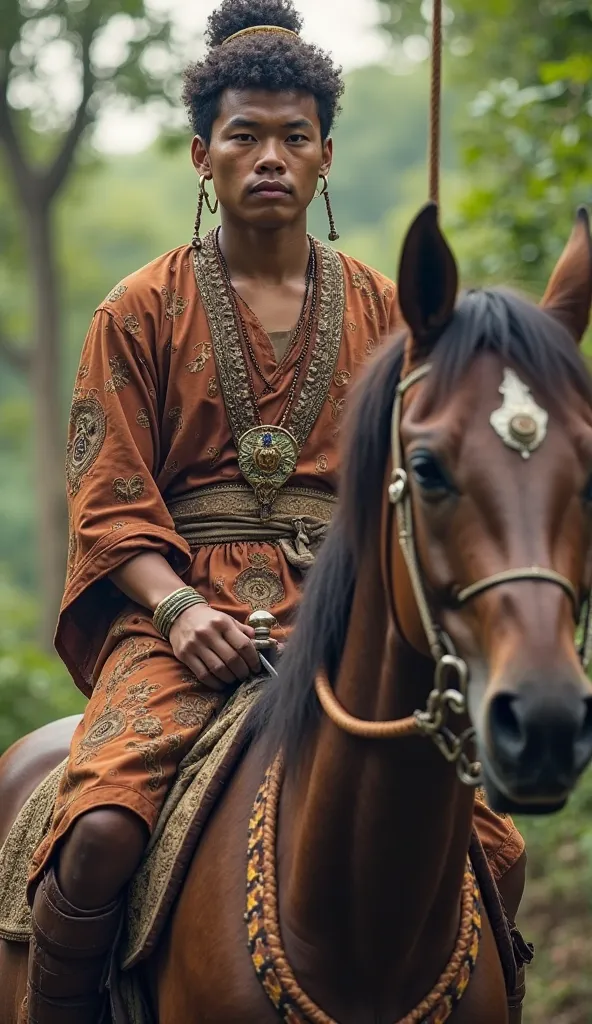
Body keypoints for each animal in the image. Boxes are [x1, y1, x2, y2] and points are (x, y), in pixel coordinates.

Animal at [1, 201, 589, 1024]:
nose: (544, 720)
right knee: (93, 848)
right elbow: (118, 513)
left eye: (588, 470)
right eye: (427, 469)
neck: (361, 932)